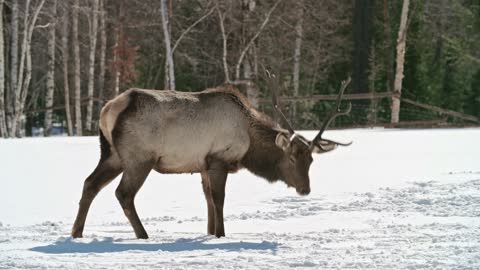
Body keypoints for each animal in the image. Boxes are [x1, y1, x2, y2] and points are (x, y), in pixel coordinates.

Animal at [71, 74, 350, 238]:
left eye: (311, 160)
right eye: (291, 158)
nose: (305, 189)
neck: (249, 141)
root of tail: (107, 110)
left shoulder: (203, 164)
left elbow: (207, 198)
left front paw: (209, 231)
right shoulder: (219, 158)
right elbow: (218, 198)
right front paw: (221, 234)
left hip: (112, 154)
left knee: (89, 183)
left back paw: (76, 232)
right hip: (139, 157)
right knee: (123, 193)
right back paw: (143, 235)